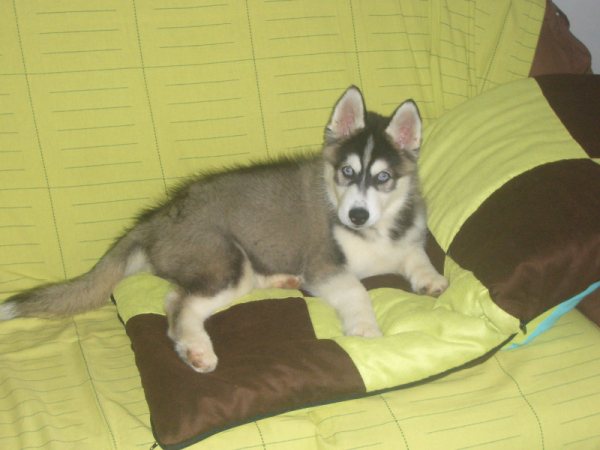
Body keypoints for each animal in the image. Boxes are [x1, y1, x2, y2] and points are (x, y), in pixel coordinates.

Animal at [0, 86, 448, 373]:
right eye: (347, 173)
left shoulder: (407, 237)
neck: (377, 230)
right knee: (178, 304)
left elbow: (416, 254)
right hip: (223, 262)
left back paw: (279, 280)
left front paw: (431, 279)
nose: (355, 215)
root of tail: (159, 214)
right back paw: (197, 350)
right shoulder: (324, 265)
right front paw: (365, 327)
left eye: (383, 177)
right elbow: (356, 289)